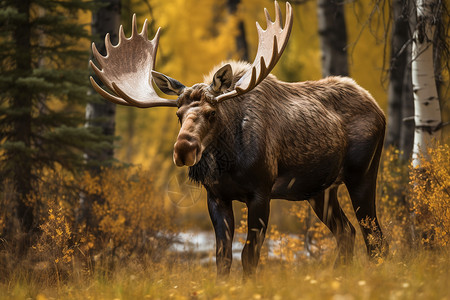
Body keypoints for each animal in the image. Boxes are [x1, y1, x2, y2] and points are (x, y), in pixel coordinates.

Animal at [89, 1, 388, 278]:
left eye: (211, 112)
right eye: (178, 114)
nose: (184, 149)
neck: (229, 162)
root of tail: (379, 109)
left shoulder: (261, 192)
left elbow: (249, 255)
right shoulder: (216, 196)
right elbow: (222, 256)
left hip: (362, 173)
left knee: (375, 237)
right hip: (320, 190)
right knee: (347, 232)